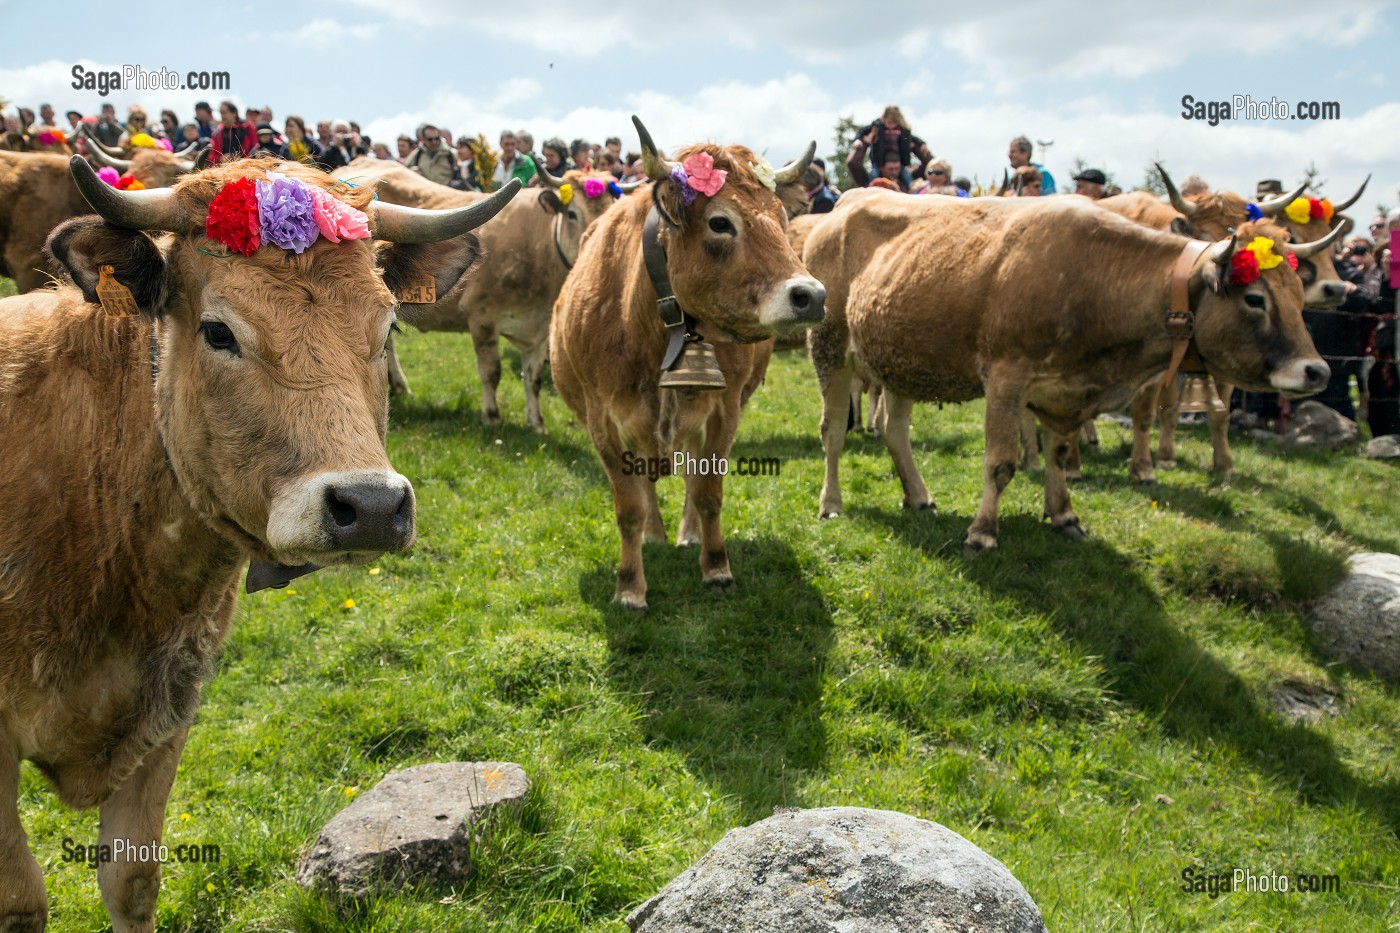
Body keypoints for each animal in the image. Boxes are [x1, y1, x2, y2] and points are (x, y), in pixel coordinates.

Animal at [0, 156, 519, 931]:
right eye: (218, 331)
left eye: (388, 324)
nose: (370, 507)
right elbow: (21, 900)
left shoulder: (169, 711)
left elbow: (131, 878)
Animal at [333, 156, 632, 428]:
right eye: (572, 214)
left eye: (613, 211)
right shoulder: (482, 318)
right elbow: (492, 372)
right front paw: (491, 416)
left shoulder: (541, 331)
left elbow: (533, 378)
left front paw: (536, 423)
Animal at [551, 116, 823, 610]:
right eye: (720, 222)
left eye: (782, 219)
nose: (811, 295)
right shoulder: (603, 420)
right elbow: (629, 506)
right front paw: (629, 586)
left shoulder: (724, 409)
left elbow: (708, 492)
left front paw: (716, 566)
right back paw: (655, 535)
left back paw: (688, 533)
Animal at [805, 187, 1330, 553]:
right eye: (1255, 299)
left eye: (1298, 296)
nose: (1317, 372)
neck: (1096, 279)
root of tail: (845, 203)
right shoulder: (1006, 377)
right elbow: (1000, 462)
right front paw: (982, 533)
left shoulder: (1065, 391)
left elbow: (1058, 454)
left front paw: (1064, 516)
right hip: (830, 346)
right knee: (832, 430)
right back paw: (831, 503)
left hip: (900, 357)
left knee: (894, 430)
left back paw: (919, 496)